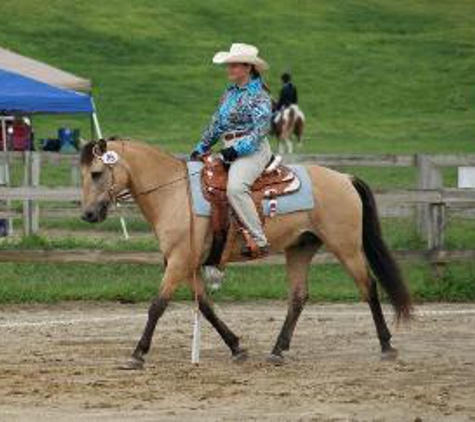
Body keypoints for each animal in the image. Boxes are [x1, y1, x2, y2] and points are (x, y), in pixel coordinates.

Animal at [80, 138, 410, 370]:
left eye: (96, 173)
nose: (88, 214)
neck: (174, 193)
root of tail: (344, 177)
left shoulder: (178, 262)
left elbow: (157, 306)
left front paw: (137, 354)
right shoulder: (190, 265)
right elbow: (207, 308)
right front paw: (237, 347)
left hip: (347, 247)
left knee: (368, 287)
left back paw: (387, 346)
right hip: (300, 249)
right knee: (298, 297)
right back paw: (277, 351)